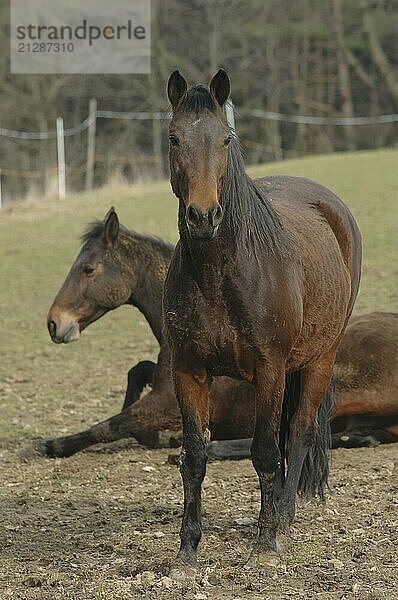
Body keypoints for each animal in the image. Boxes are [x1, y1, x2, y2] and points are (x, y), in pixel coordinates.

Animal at [163, 70, 362, 572]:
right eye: (174, 138)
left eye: (225, 138)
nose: (203, 216)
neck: (219, 275)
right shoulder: (188, 371)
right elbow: (194, 456)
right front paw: (188, 545)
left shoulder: (269, 370)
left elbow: (266, 451)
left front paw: (266, 536)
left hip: (320, 358)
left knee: (300, 431)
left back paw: (284, 515)